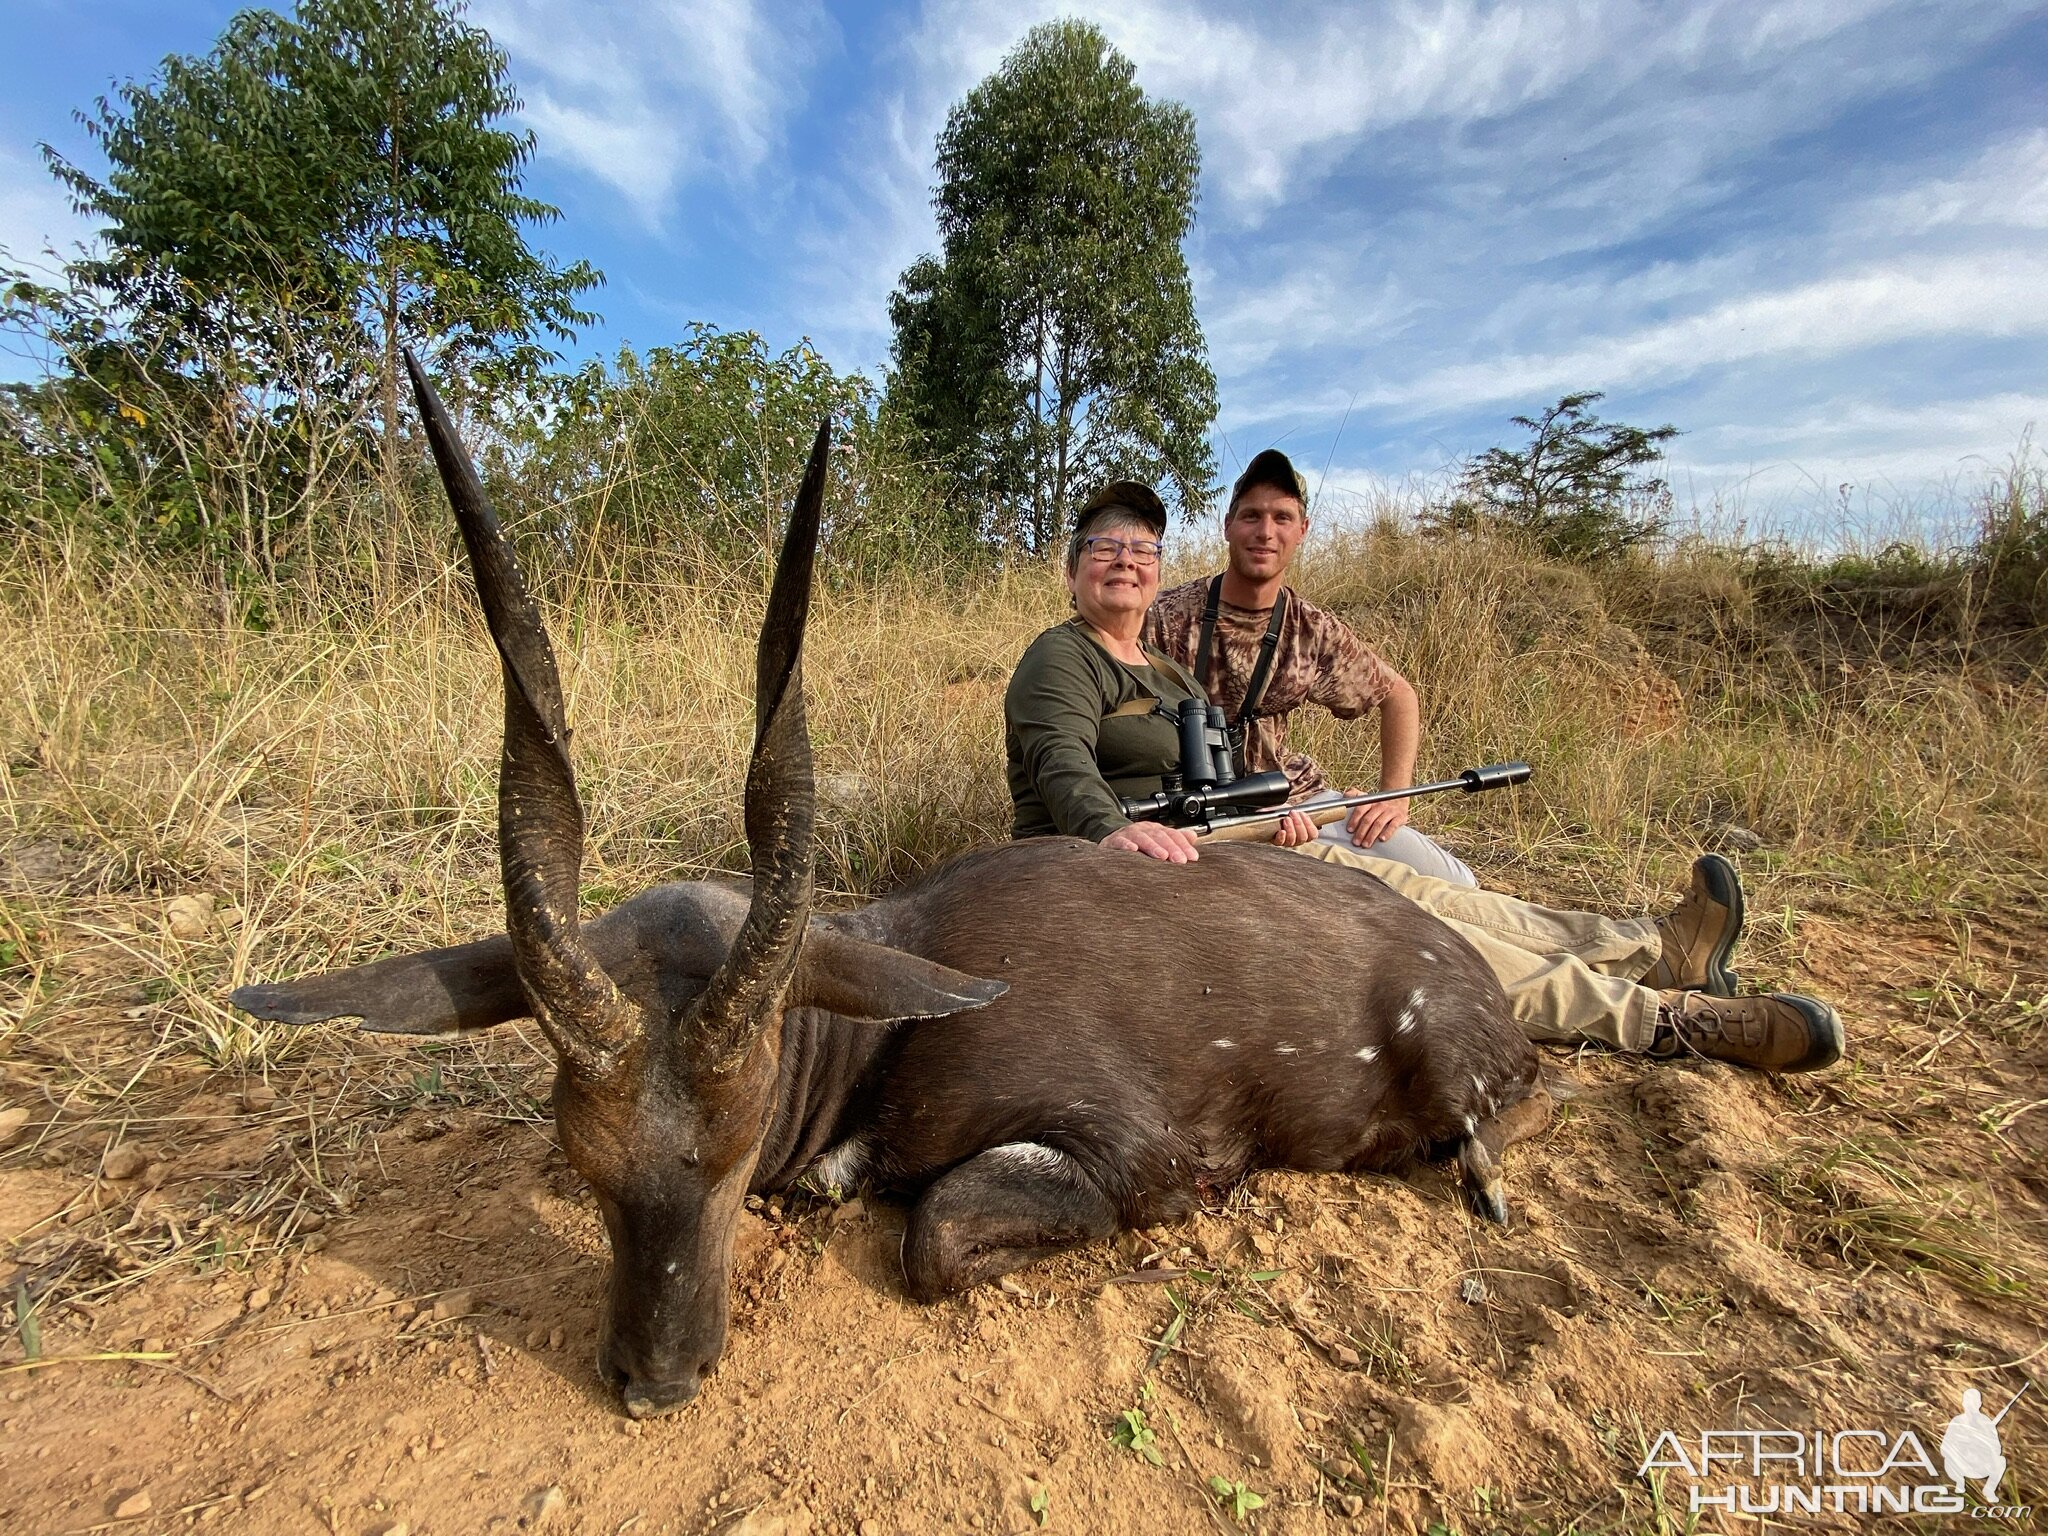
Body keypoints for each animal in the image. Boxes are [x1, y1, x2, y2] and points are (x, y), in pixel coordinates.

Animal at [235, 360, 1548, 1417]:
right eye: (583, 1162)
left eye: (735, 1148)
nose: (655, 1382)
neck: (872, 1040)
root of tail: (1477, 983)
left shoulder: (1122, 1148)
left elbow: (934, 1236)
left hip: (1454, 1080)